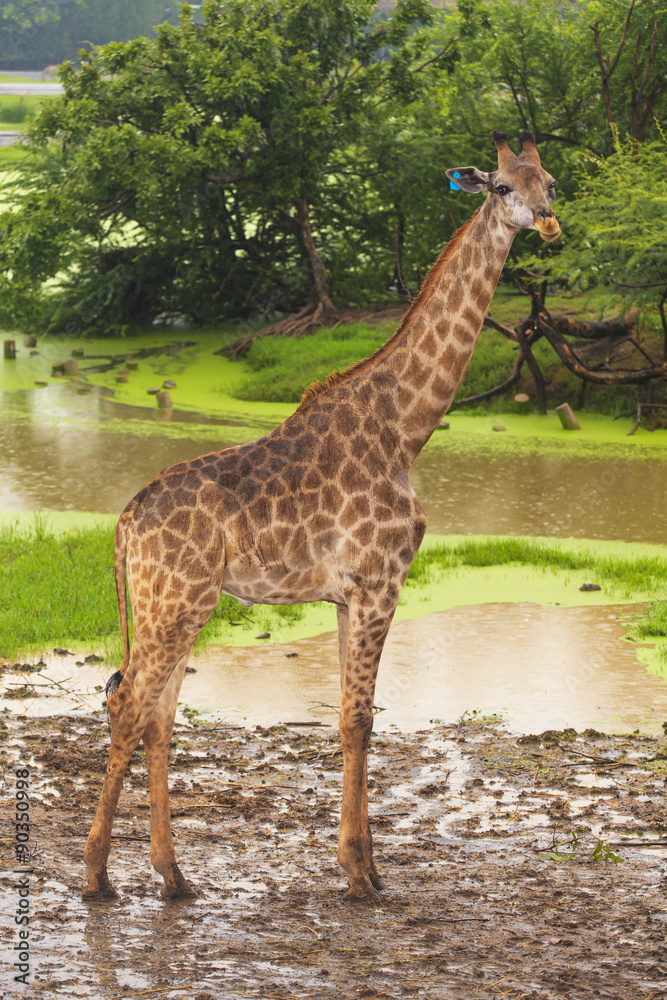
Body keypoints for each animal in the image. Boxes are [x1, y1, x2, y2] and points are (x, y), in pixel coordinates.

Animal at [83, 130, 559, 902]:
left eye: (549, 180)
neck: (407, 428)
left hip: (179, 604)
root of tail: (124, 523)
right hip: (172, 601)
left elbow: (350, 718)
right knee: (129, 706)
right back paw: (97, 875)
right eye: (500, 188)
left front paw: (361, 864)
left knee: (156, 714)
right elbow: (359, 719)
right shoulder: (379, 582)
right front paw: (361, 873)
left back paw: (173, 875)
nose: (546, 223)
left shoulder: (347, 594)